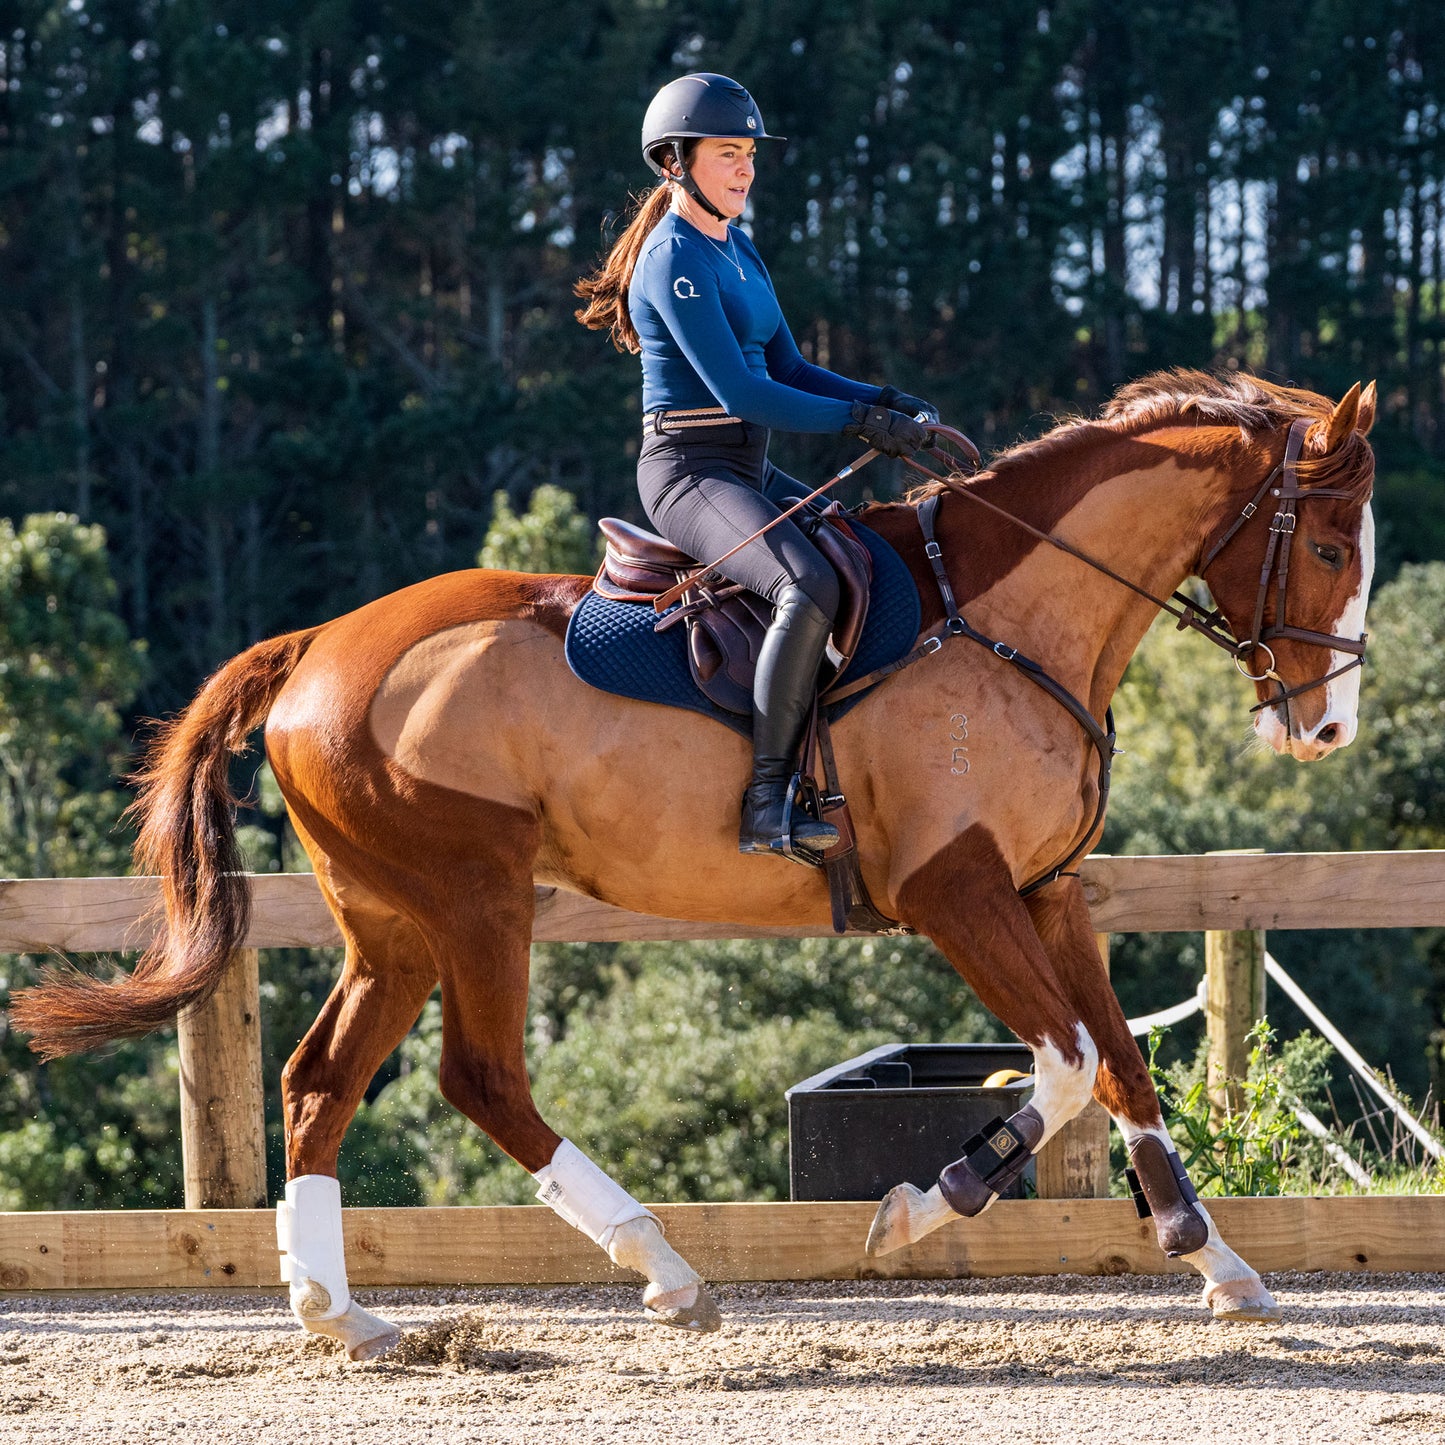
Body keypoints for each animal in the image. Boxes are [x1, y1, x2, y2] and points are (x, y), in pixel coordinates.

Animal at [14, 369, 1375, 1352]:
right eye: (1324, 547)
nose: (1324, 729)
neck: (1010, 617)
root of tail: (313, 648)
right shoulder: (956, 891)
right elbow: (1066, 1063)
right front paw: (925, 1200)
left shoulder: (1047, 892)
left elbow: (1121, 1065)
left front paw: (1216, 1259)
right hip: (475, 897)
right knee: (481, 1078)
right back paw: (665, 1269)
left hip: (390, 922)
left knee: (316, 1082)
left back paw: (342, 1314)